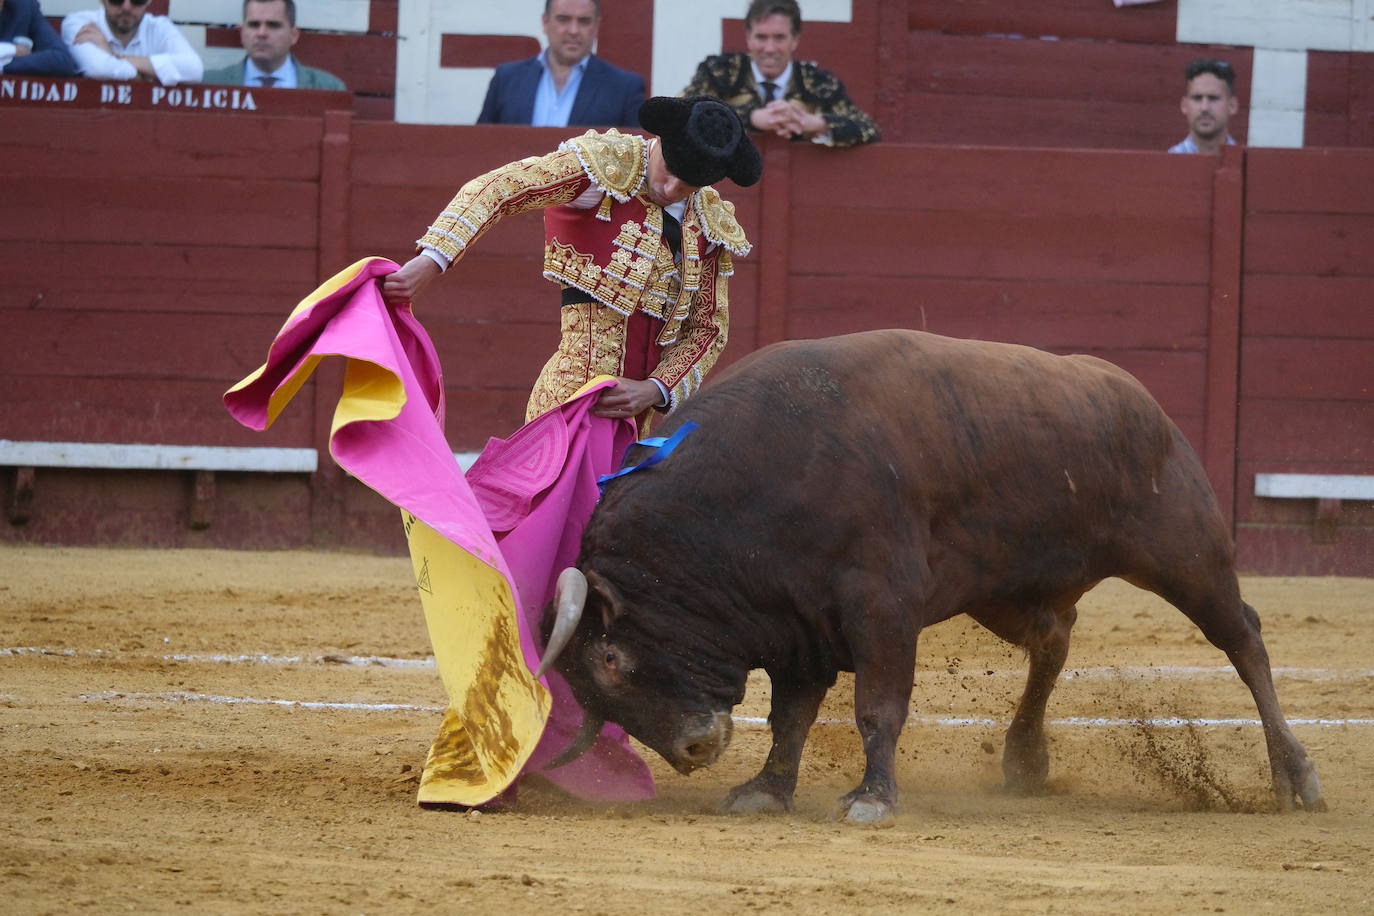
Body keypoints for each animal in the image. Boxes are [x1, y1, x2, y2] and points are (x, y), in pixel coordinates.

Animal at [533, 329, 1319, 823]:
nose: (693, 751)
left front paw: (871, 800)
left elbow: (878, 708)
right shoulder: (797, 627)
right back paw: (1025, 760)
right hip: (1004, 590)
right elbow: (792, 717)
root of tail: (1136, 396)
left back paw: (1296, 777)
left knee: (1244, 640)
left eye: (611, 658)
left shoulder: (880, 607)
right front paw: (766, 790)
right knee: (1054, 641)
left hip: (1186, 551)